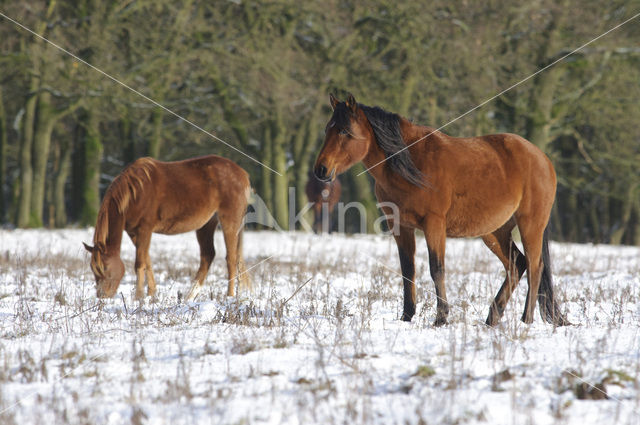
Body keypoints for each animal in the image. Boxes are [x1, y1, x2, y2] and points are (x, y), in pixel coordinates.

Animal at [80, 155, 250, 298]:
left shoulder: (145, 229)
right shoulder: (134, 232)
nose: (102, 295)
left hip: (229, 222)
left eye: (105, 268)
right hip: (206, 225)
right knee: (208, 256)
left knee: (231, 259)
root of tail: (242, 174)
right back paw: (189, 297)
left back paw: (229, 295)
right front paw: (151, 295)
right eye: (93, 269)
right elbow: (147, 260)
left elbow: (139, 263)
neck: (134, 193)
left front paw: (138, 298)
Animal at [312, 93, 568, 324]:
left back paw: (526, 319)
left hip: (530, 225)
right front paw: (407, 316)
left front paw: (441, 317)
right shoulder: (401, 226)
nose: (321, 170)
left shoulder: (433, 223)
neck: (410, 163)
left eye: (344, 131)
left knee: (535, 267)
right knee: (517, 265)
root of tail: (542, 158)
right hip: (495, 232)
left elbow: (437, 269)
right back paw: (493, 317)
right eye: (326, 129)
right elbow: (408, 270)